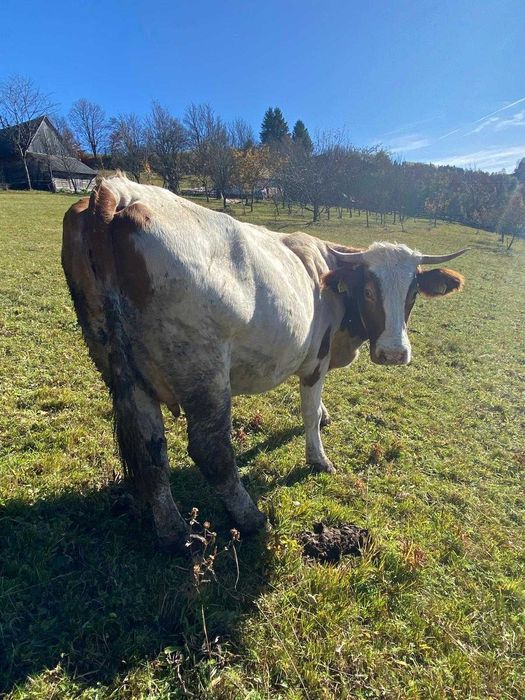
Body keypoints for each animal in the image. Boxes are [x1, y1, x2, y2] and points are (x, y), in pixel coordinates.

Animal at [62, 174, 467, 551]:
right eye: (369, 289)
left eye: (412, 292)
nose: (395, 353)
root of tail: (118, 190)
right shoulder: (316, 360)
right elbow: (308, 412)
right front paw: (319, 457)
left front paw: (325, 416)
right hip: (203, 369)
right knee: (211, 451)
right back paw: (250, 518)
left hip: (124, 373)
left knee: (151, 453)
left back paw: (174, 533)